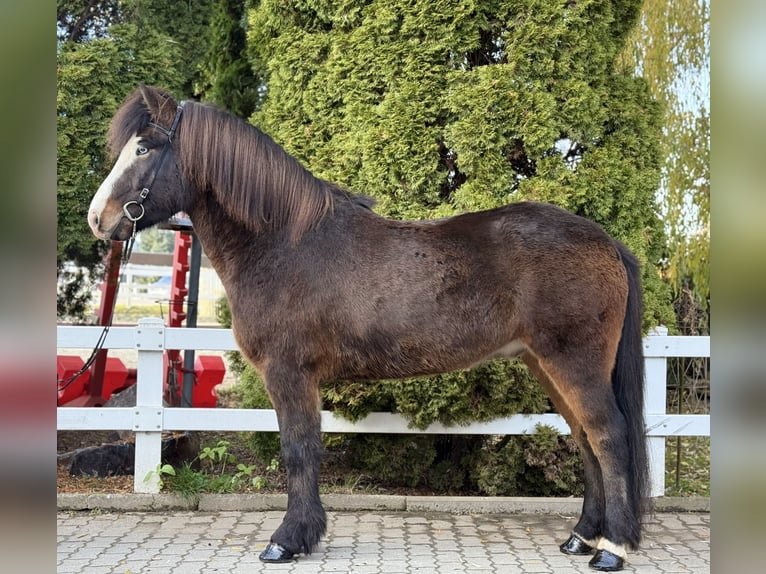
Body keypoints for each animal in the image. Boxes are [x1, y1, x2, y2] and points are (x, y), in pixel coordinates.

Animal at [87, 85, 649, 572]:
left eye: (144, 147)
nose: (98, 219)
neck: (283, 243)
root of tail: (606, 243)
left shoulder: (289, 373)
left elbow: (298, 449)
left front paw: (287, 540)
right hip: (546, 366)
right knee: (585, 440)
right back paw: (581, 537)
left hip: (574, 364)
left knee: (608, 436)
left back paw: (612, 549)